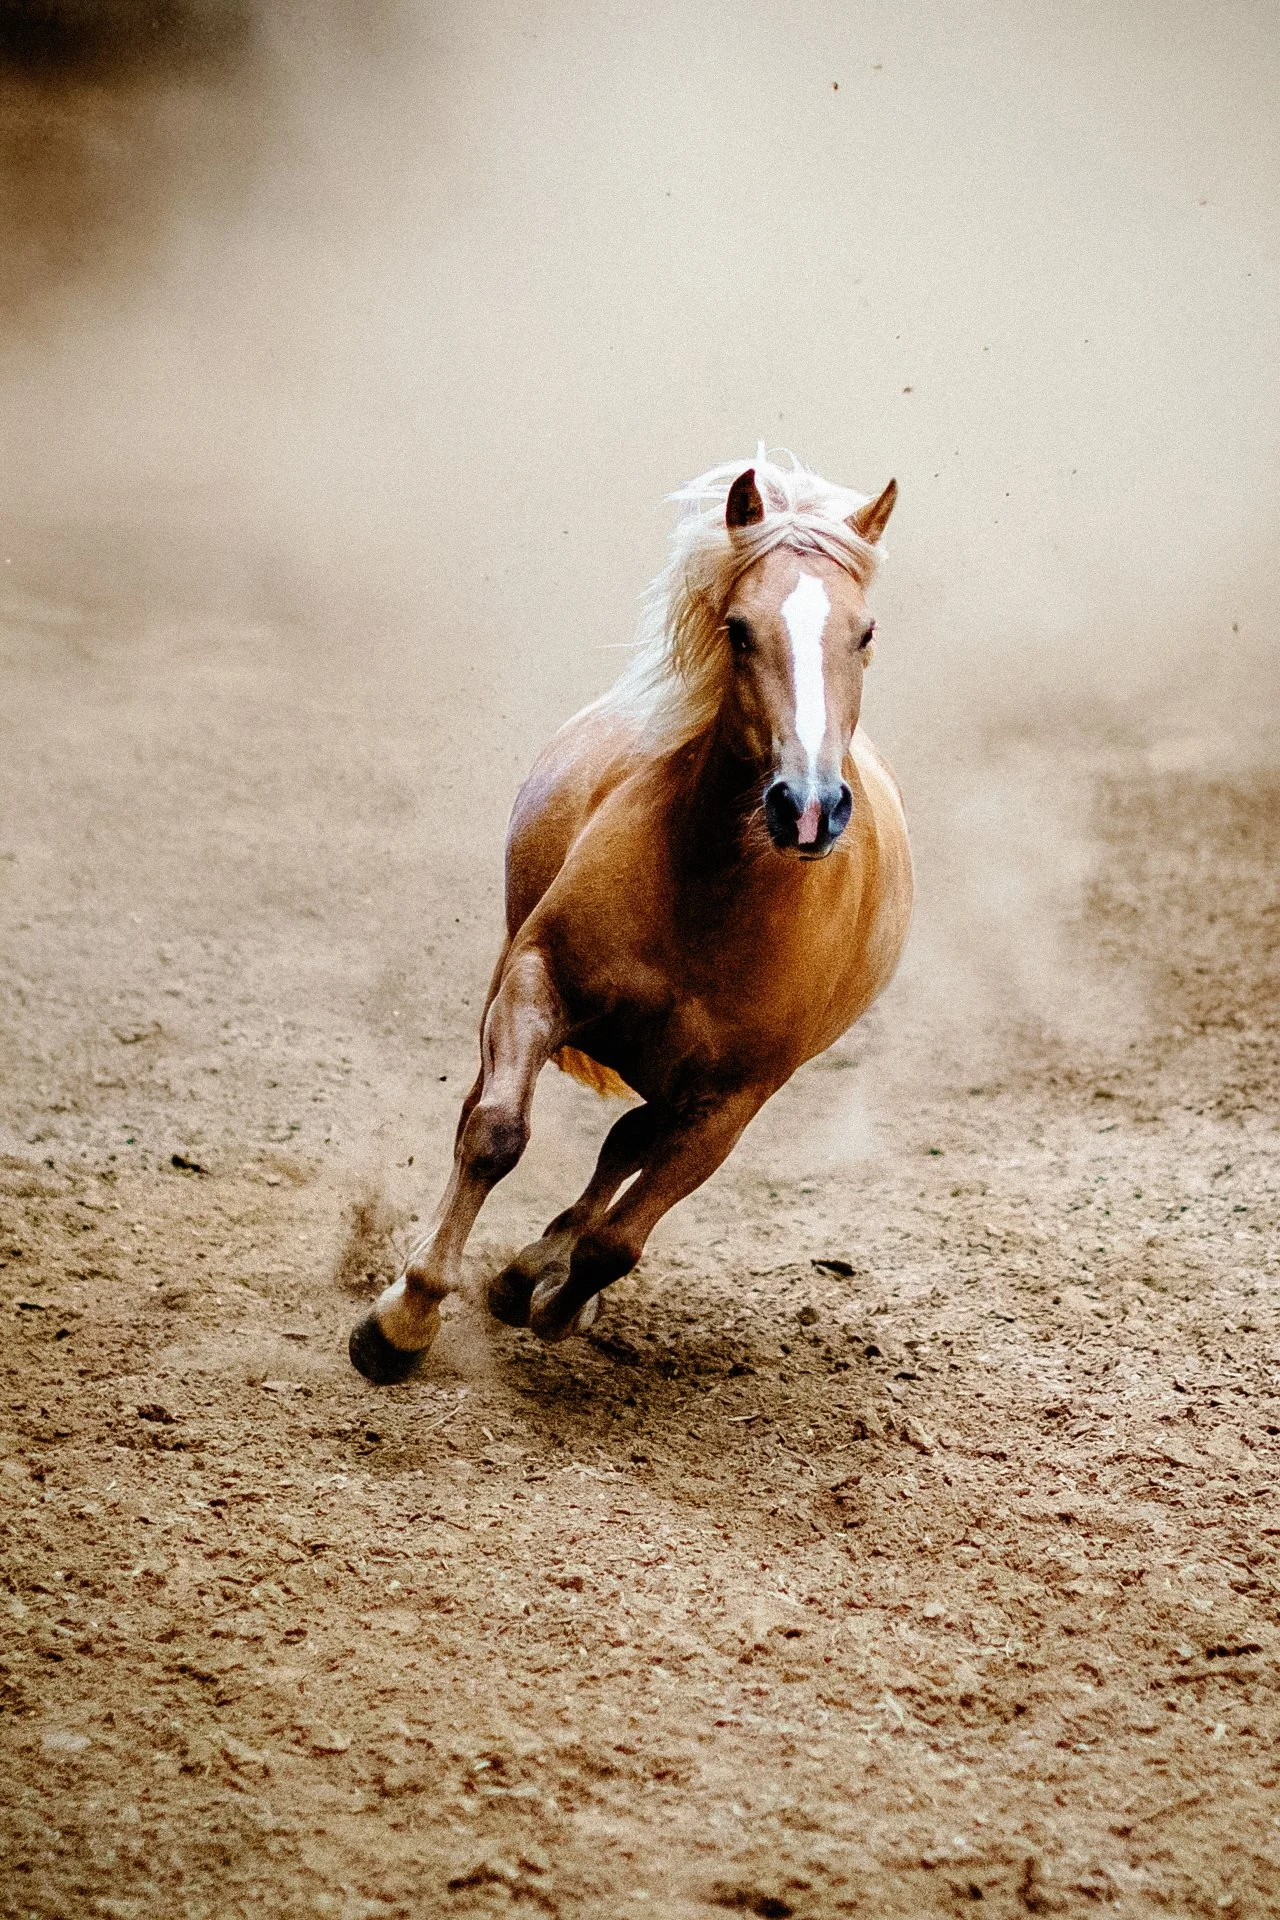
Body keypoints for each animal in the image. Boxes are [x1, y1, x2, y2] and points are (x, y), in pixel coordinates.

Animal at [349, 450, 913, 1384]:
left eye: (865, 633)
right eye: (739, 629)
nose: (807, 808)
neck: (712, 898)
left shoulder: (730, 1100)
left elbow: (617, 1241)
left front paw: (550, 1301)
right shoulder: (536, 980)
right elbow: (496, 1134)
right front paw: (403, 1321)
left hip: (682, 1087)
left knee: (623, 1148)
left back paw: (531, 1278)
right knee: (494, 1115)